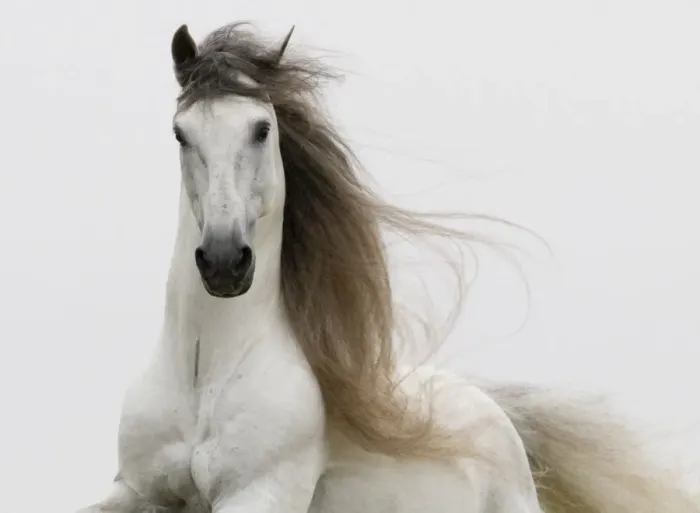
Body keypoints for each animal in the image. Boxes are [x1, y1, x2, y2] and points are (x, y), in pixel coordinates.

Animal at [76, 21, 699, 513]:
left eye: (262, 128)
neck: (204, 374)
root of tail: (499, 417)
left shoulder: (256, 496)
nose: (225, 263)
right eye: (182, 133)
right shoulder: (136, 491)